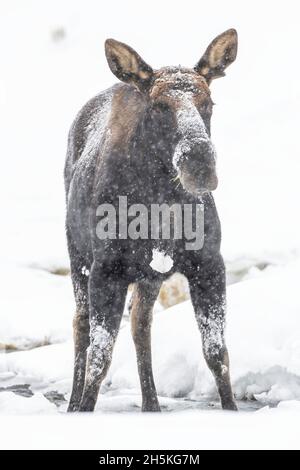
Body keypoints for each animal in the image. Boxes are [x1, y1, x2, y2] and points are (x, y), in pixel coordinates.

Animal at [65, 29, 239, 412]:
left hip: (149, 276)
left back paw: (152, 404)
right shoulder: (106, 270)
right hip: (78, 259)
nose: (199, 163)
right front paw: (83, 409)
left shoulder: (209, 263)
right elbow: (99, 358)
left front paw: (232, 409)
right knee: (80, 325)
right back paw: (72, 404)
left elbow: (217, 352)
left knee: (139, 323)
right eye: (159, 105)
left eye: (209, 102)